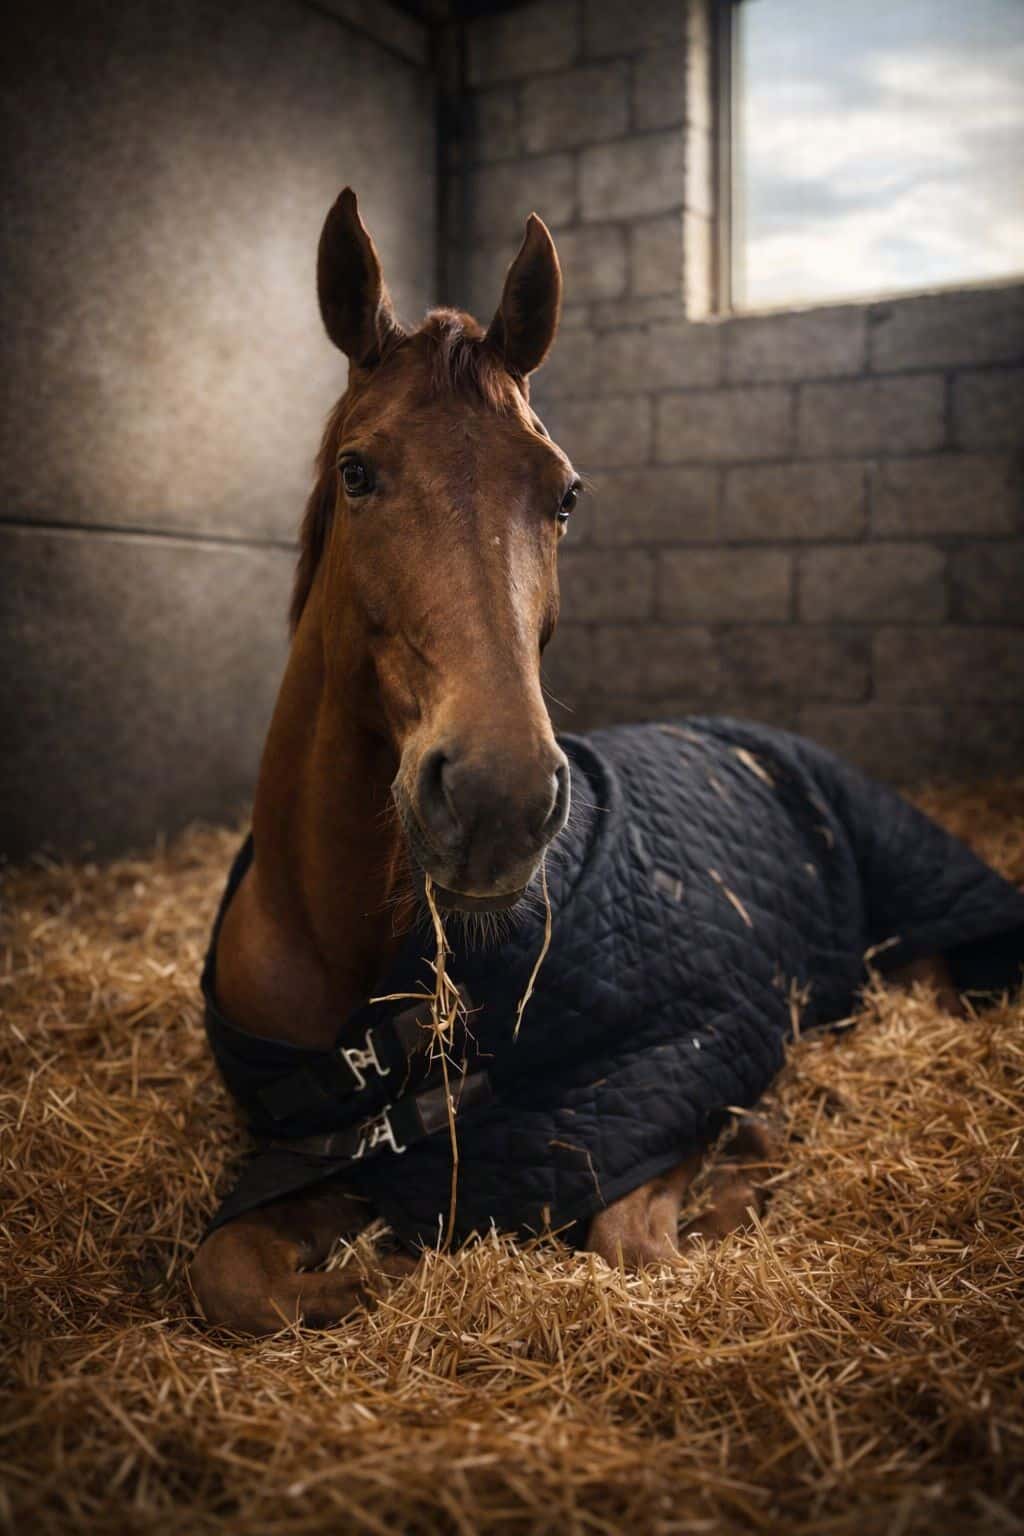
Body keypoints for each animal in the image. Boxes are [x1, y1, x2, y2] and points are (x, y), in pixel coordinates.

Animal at [190, 190, 1021, 1335]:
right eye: (358, 472)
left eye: (566, 494)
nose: (497, 798)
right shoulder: (308, 1158)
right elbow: (237, 1275)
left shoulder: (670, 1069)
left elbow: (637, 1243)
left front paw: (749, 1162)